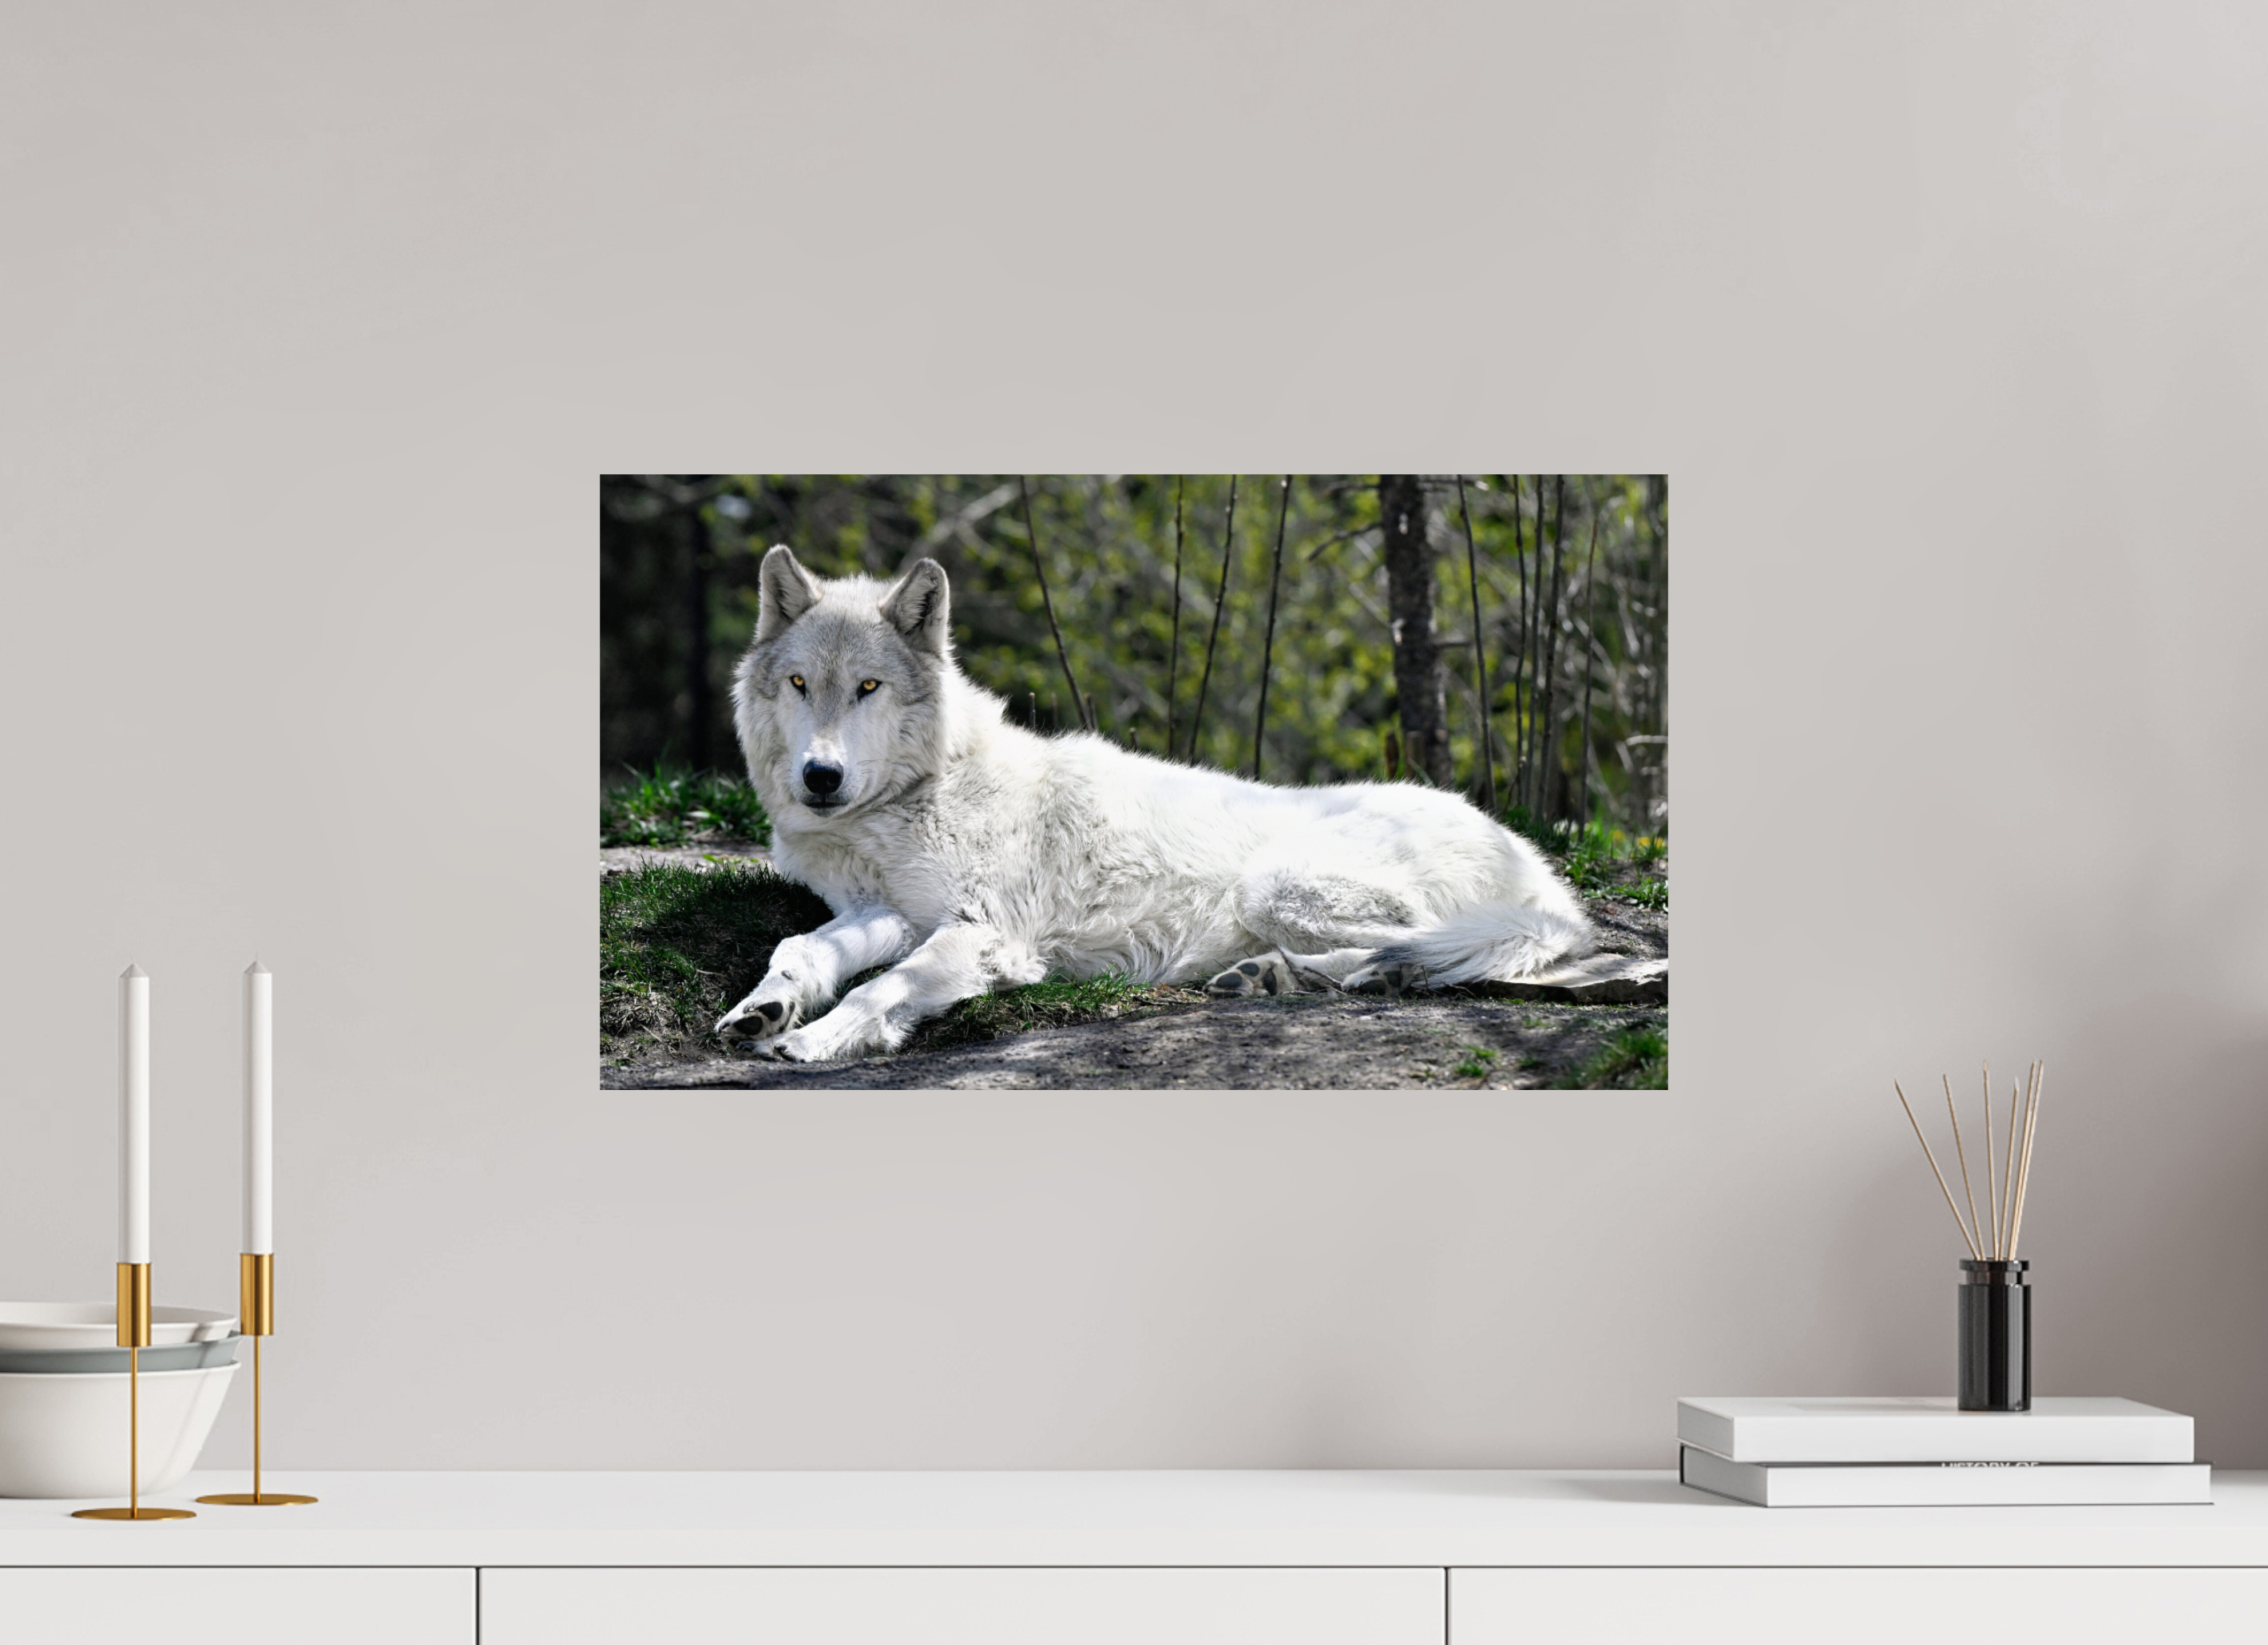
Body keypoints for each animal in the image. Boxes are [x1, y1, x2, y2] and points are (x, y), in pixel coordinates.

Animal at [713, 546, 1599, 1061]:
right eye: (800, 684)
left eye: (868, 687)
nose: (819, 777)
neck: (916, 797)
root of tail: (1538, 867)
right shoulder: (890, 911)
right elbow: (801, 946)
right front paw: (764, 1007)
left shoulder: (986, 934)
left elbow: (878, 988)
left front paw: (817, 1037)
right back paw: (1269, 977)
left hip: (1278, 886)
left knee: (1443, 948)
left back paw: (1319, 975)